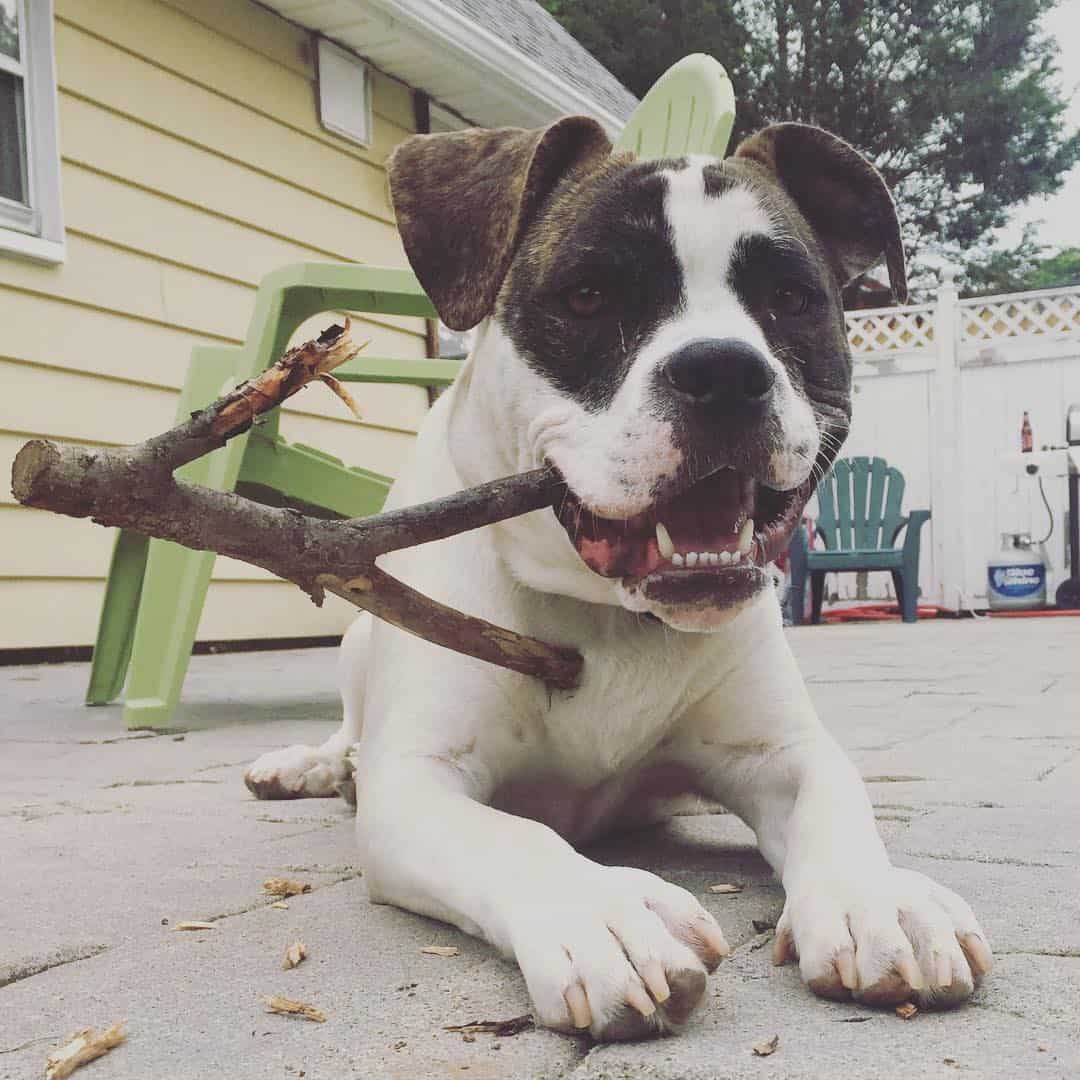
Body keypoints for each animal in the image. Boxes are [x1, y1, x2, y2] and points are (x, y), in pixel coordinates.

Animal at [248, 116, 989, 1036]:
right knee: (348, 730)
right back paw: (308, 765)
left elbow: (839, 802)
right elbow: (514, 837)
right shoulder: (415, 784)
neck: (603, 616)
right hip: (360, 641)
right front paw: (605, 913)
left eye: (790, 299)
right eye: (588, 297)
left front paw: (880, 898)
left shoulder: (783, 754)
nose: (724, 371)